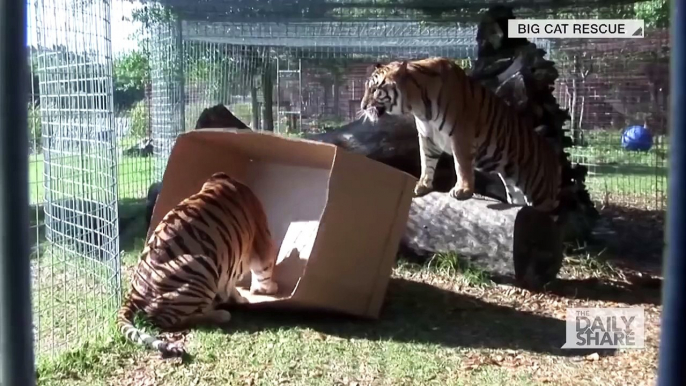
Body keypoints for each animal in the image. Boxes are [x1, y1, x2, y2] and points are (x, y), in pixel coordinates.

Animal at [116, 172, 280, 356]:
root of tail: (132, 295)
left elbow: (230, 284)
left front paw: (241, 297)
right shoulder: (262, 240)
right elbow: (264, 270)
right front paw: (268, 289)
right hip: (202, 267)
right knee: (174, 321)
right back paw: (221, 314)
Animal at [362, 57, 560, 220]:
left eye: (375, 89)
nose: (363, 106)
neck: (417, 105)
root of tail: (553, 156)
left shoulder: (461, 136)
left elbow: (461, 165)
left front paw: (462, 190)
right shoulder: (427, 137)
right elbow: (426, 162)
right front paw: (422, 185)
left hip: (541, 194)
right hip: (516, 192)